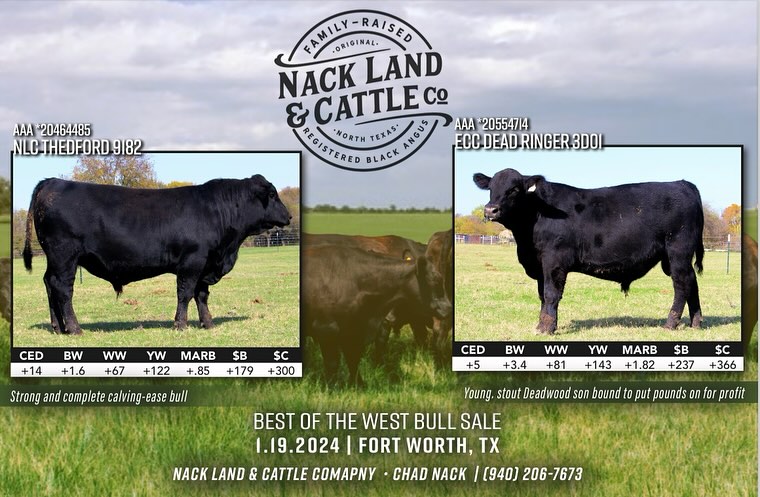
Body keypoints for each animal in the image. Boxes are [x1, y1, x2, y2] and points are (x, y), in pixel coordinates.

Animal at [23, 175, 291, 334]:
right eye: (272, 195)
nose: (288, 216)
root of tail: (53, 182)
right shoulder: (192, 261)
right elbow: (185, 294)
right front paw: (180, 325)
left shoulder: (205, 264)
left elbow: (201, 295)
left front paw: (208, 323)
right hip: (65, 255)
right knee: (62, 289)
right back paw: (75, 328)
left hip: (54, 259)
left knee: (49, 284)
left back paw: (59, 327)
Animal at [303, 245, 451, 385]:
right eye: (435, 281)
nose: (449, 308)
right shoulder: (326, 328)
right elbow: (332, 362)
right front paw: (332, 386)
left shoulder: (353, 329)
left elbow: (353, 358)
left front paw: (358, 384)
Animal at [473, 168, 704, 334]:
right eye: (491, 188)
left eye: (514, 189)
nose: (490, 210)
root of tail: (683, 183)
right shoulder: (539, 265)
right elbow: (542, 295)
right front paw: (542, 325)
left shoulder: (553, 260)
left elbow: (550, 294)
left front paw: (547, 328)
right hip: (673, 257)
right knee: (692, 281)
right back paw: (696, 322)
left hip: (678, 251)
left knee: (682, 284)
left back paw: (671, 323)